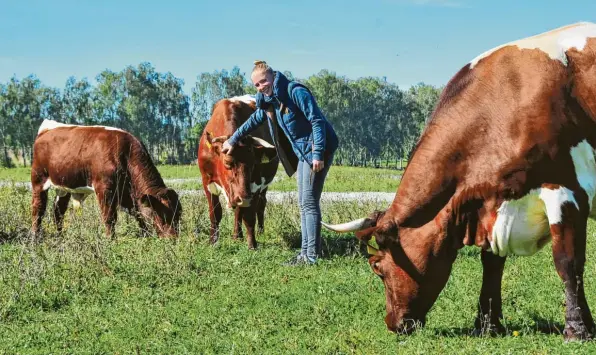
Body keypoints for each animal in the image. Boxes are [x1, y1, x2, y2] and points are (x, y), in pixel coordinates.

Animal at [32, 119, 182, 239]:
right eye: (162, 215)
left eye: (178, 214)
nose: (173, 238)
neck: (125, 153)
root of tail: (47, 129)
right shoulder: (104, 188)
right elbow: (109, 217)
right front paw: (111, 239)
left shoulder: (125, 192)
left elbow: (138, 213)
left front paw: (146, 235)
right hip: (39, 179)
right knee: (38, 208)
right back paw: (35, 237)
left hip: (64, 186)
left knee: (58, 211)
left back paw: (59, 236)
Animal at [198, 94, 278, 250]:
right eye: (228, 163)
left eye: (253, 164)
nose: (244, 197)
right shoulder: (207, 181)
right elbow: (215, 213)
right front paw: (213, 242)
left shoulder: (254, 187)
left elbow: (249, 216)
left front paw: (252, 244)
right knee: (238, 209)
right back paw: (237, 235)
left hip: (259, 187)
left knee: (260, 204)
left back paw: (258, 231)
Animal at [324, 23, 596, 342]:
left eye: (377, 267)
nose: (391, 323)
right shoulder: (492, 203)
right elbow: (492, 263)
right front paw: (487, 324)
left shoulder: (566, 191)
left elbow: (567, 263)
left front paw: (578, 330)